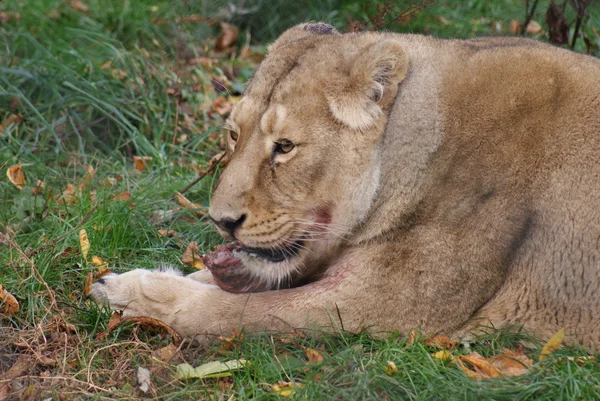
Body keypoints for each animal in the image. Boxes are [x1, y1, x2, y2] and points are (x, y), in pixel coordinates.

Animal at [91, 22, 600, 346]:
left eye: (285, 147)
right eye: (235, 134)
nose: (221, 221)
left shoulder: (385, 308)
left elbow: (235, 313)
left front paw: (131, 294)